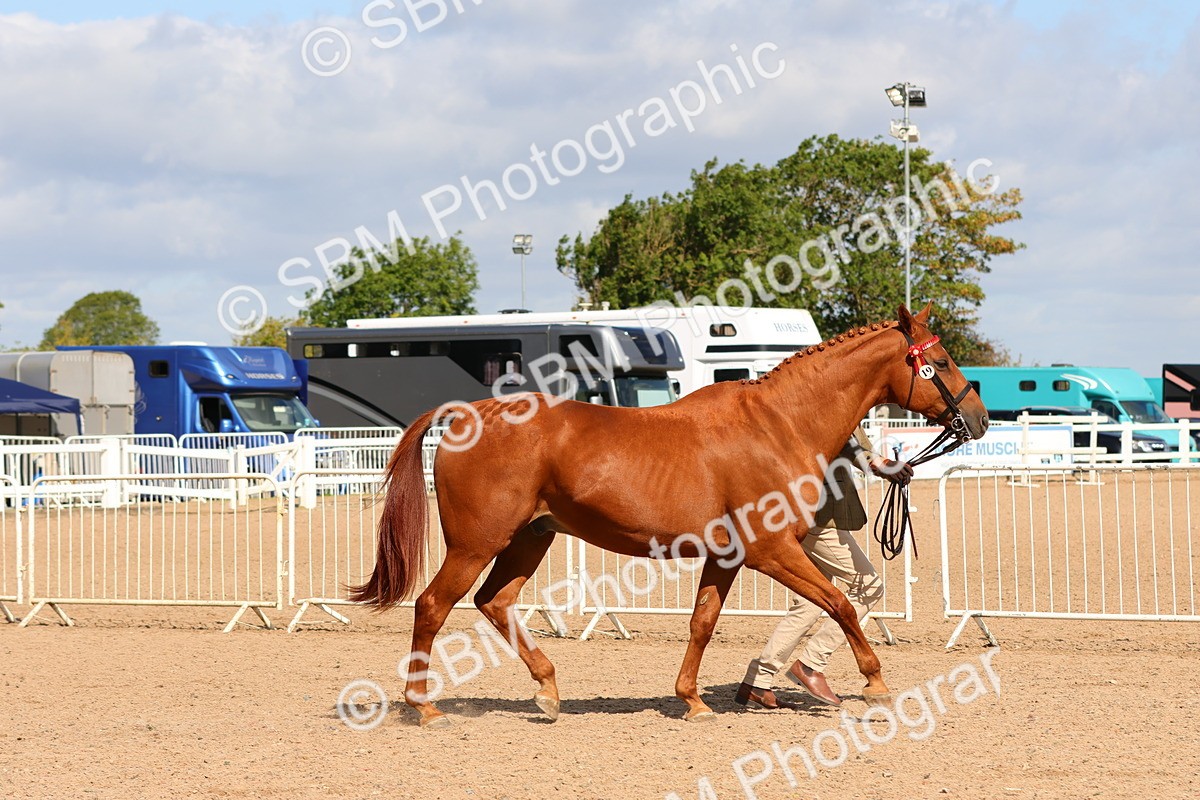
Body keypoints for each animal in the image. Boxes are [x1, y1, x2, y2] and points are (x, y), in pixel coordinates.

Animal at [350, 303, 989, 728]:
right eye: (942, 361)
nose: (979, 419)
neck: (778, 424)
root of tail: (466, 414)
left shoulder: (728, 557)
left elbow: (703, 623)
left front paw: (693, 699)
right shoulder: (771, 551)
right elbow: (840, 604)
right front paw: (876, 683)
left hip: (531, 538)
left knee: (495, 602)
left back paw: (548, 692)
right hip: (476, 543)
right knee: (433, 606)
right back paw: (424, 707)